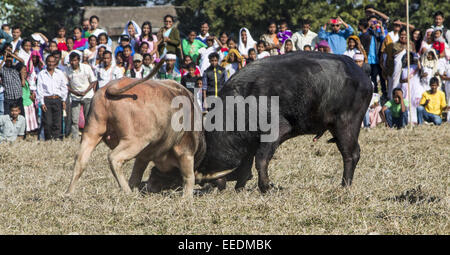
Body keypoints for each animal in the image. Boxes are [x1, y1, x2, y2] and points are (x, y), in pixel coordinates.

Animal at [66, 61, 232, 197]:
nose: (151, 186)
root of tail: (111, 88)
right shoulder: (185, 151)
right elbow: (189, 177)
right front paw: (187, 198)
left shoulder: (144, 156)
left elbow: (136, 176)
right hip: (135, 141)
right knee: (114, 158)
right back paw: (126, 192)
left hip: (91, 133)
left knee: (80, 160)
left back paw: (69, 193)